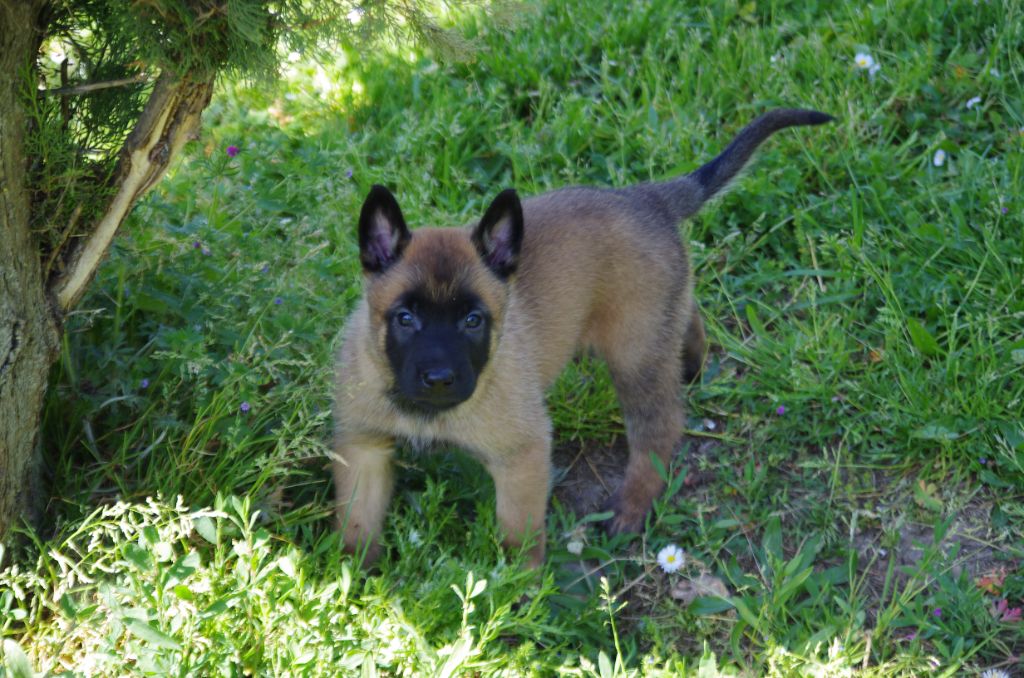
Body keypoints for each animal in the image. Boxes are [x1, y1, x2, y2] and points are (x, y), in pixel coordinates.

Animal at [335, 109, 831, 565]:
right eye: (404, 318)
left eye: (473, 320)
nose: (439, 378)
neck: (428, 412)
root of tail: (645, 197)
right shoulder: (362, 448)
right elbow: (357, 523)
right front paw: (358, 582)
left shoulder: (523, 456)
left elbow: (518, 536)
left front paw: (519, 590)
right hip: (656, 325)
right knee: (687, 314)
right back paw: (693, 362)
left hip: (634, 354)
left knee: (660, 429)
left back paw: (632, 506)